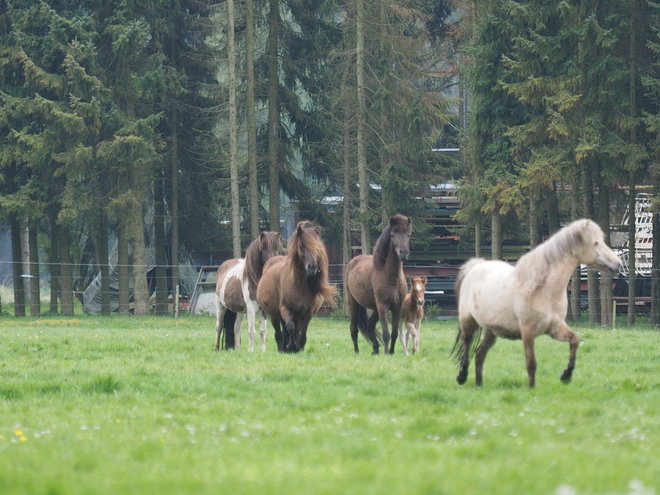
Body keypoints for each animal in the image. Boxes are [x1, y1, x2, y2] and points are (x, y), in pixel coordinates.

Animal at [253, 221, 336, 352]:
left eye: (317, 247)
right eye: (302, 245)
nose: (313, 267)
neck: (300, 286)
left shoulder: (308, 312)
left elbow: (302, 330)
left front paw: (299, 346)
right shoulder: (285, 309)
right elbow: (290, 327)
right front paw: (291, 345)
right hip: (274, 315)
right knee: (280, 332)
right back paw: (282, 347)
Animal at [342, 215, 410, 354]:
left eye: (408, 234)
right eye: (393, 235)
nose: (404, 253)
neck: (391, 277)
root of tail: (353, 261)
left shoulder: (397, 307)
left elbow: (394, 333)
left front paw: (391, 352)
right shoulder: (383, 306)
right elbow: (386, 333)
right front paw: (387, 354)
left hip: (375, 308)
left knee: (370, 325)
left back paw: (375, 349)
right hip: (354, 304)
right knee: (354, 329)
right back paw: (357, 351)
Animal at [452, 220, 620, 388]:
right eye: (595, 243)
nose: (617, 264)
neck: (542, 290)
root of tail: (475, 266)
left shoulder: (555, 328)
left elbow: (575, 340)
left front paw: (566, 376)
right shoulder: (528, 332)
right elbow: (531, 363)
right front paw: (532, 389)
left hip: (491, 331)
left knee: (479, 354)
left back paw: (479, 384)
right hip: (467, 322)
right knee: (466, 345)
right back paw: (461, 377)